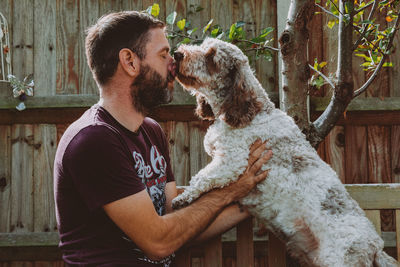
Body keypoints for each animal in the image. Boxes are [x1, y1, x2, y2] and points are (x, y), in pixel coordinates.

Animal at [170, 38, 398, 267]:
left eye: (211, 56)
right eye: (202, 45)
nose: (177, 54)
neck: (251, 112)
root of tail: (376, 248)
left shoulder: (232, 162)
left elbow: (201, 178)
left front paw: (183, 198)